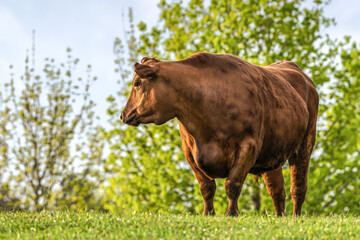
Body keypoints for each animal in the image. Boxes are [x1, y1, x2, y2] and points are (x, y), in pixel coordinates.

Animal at [121, 53, 318, 218]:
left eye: (137, 83)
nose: (124, 114)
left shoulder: (248, 146)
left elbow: (232, 184)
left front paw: (231, 213)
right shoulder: (189, 151)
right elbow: (207, 187)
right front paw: (208, 213)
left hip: (305, 143)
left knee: (298, 186)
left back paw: (295, 217)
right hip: (273, 151)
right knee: (277, 190)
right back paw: (280, 217)